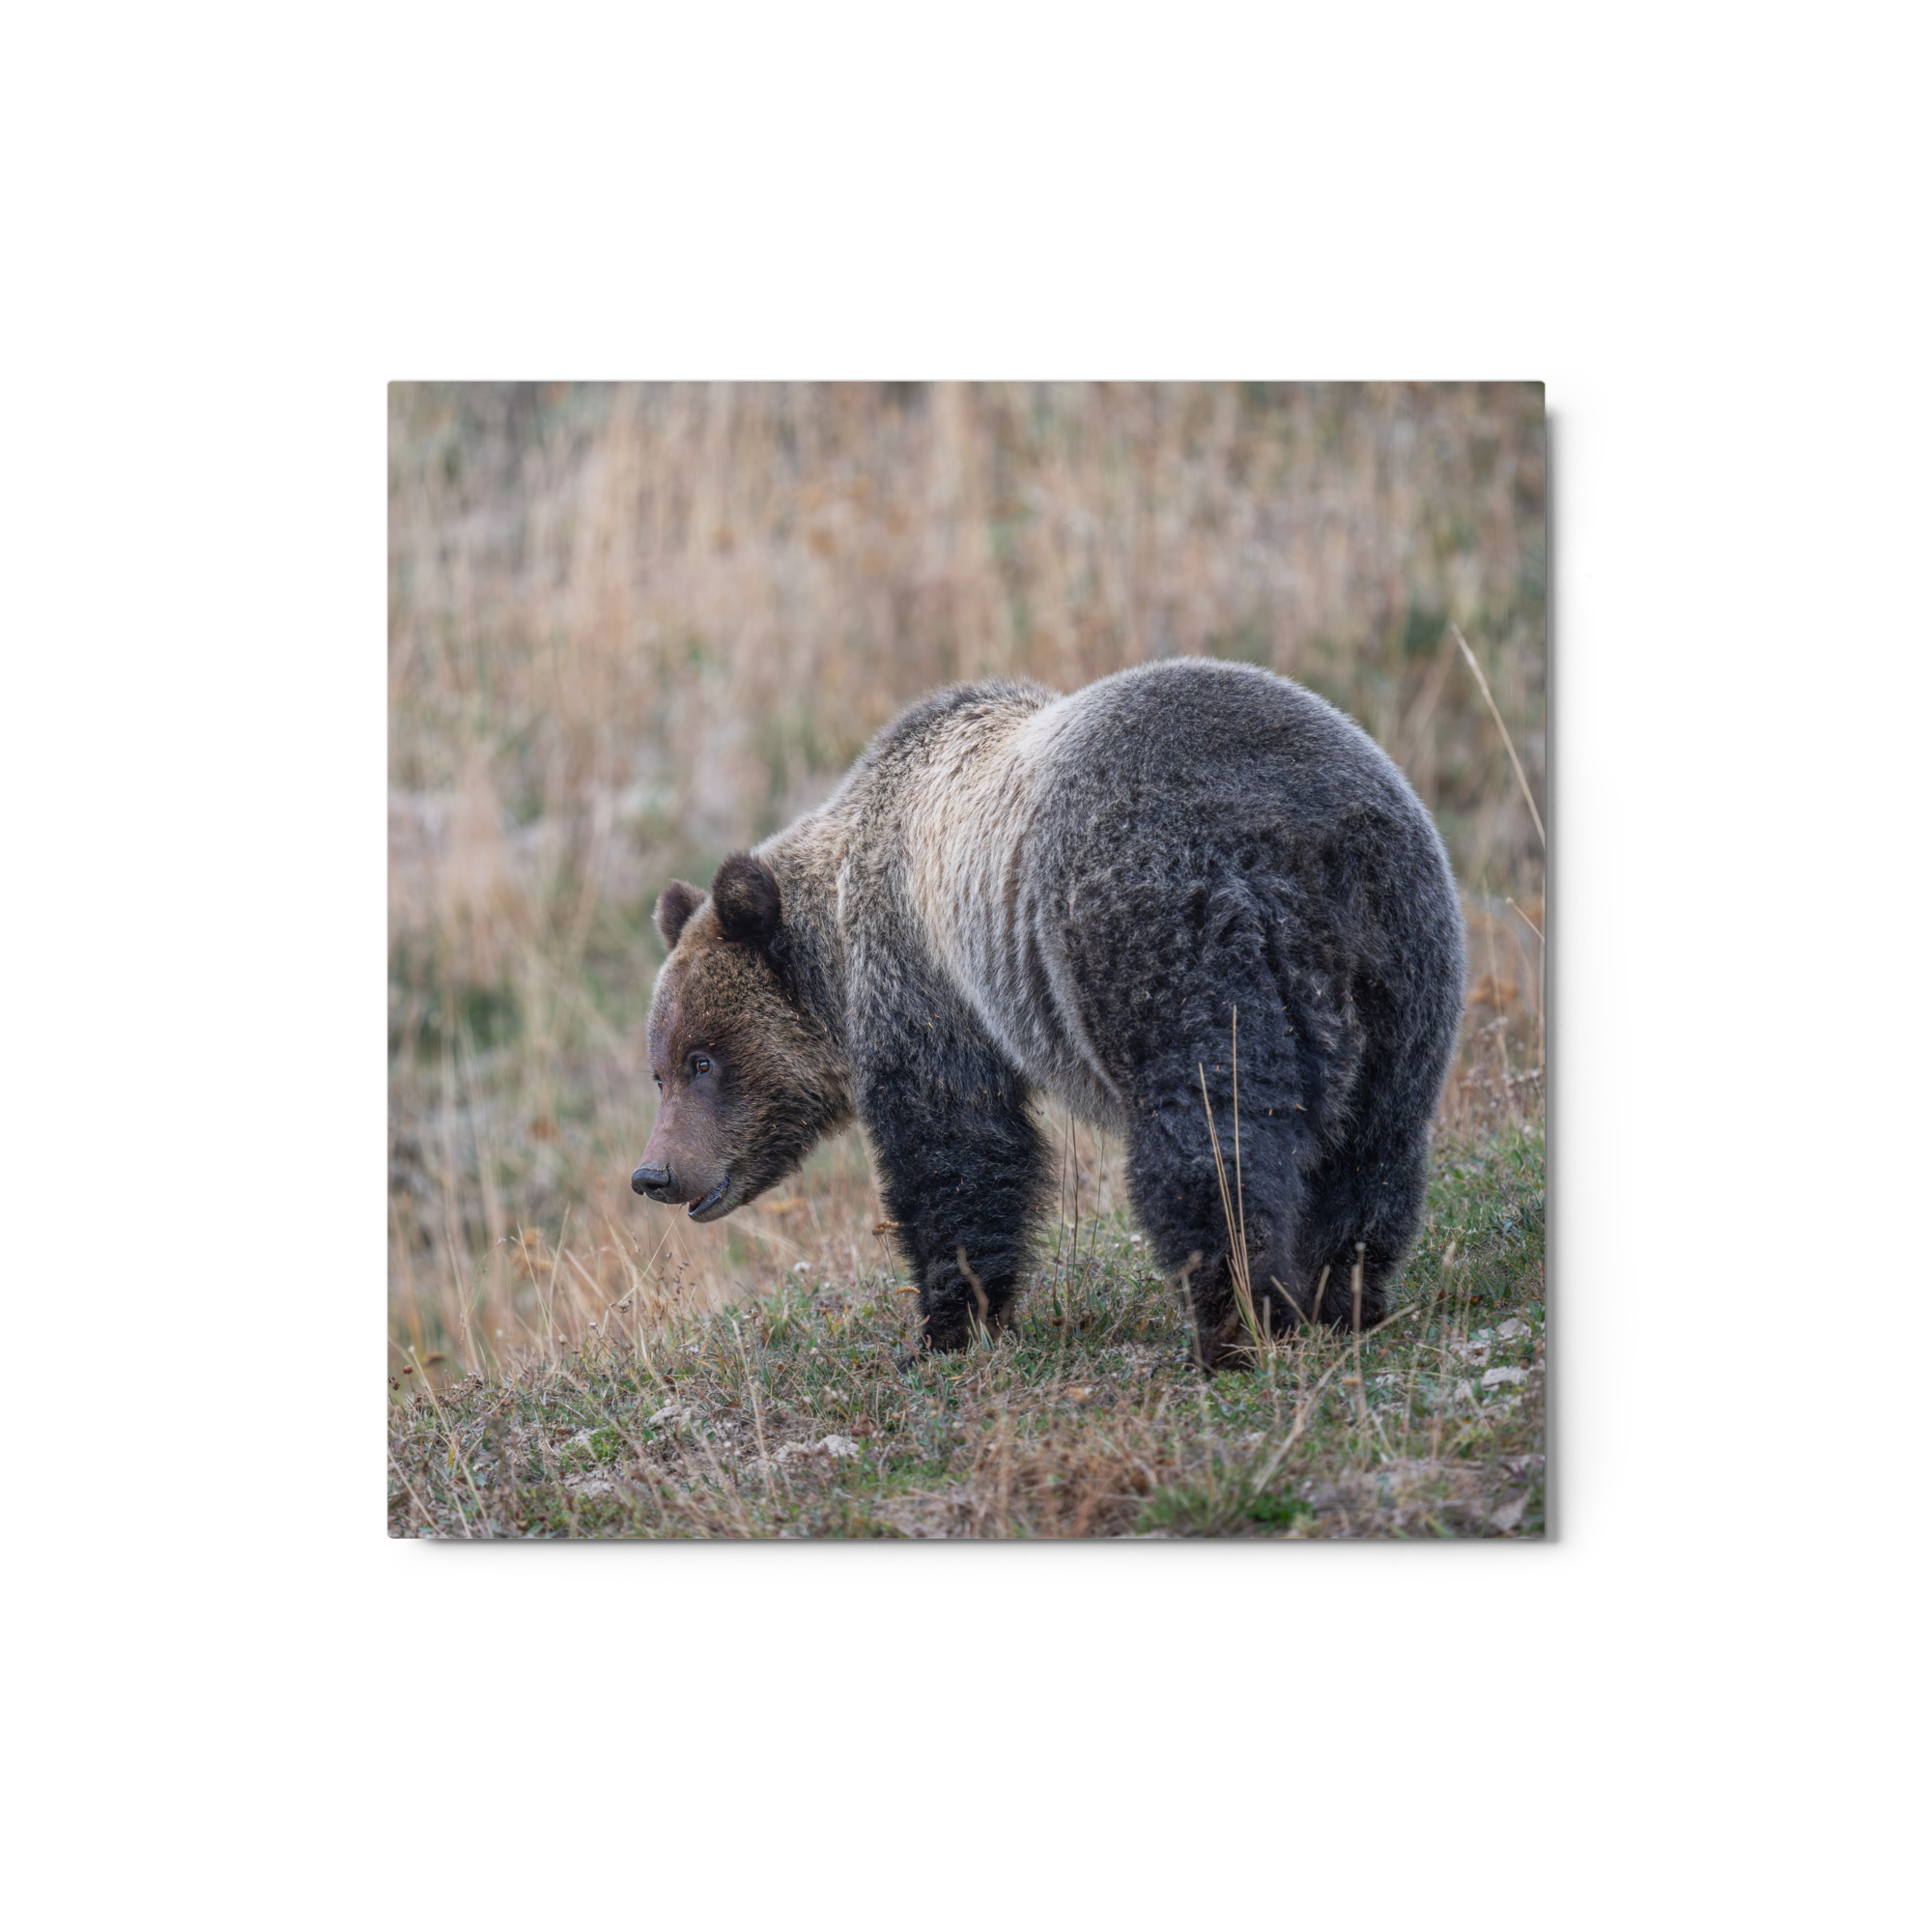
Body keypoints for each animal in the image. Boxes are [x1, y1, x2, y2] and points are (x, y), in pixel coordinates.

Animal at [631, 656, 1465, 1370]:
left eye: (703, 1059)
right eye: (659, 1069)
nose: (654, 1173)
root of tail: (1305, 842)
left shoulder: (926, 980)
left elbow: (957, 1149)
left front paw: (946, 1327)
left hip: (1167, 936)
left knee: (1211, 1140)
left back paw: (1234, 1327)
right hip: (1403, 960)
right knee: (1374, 1144)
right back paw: (1342, 1297)